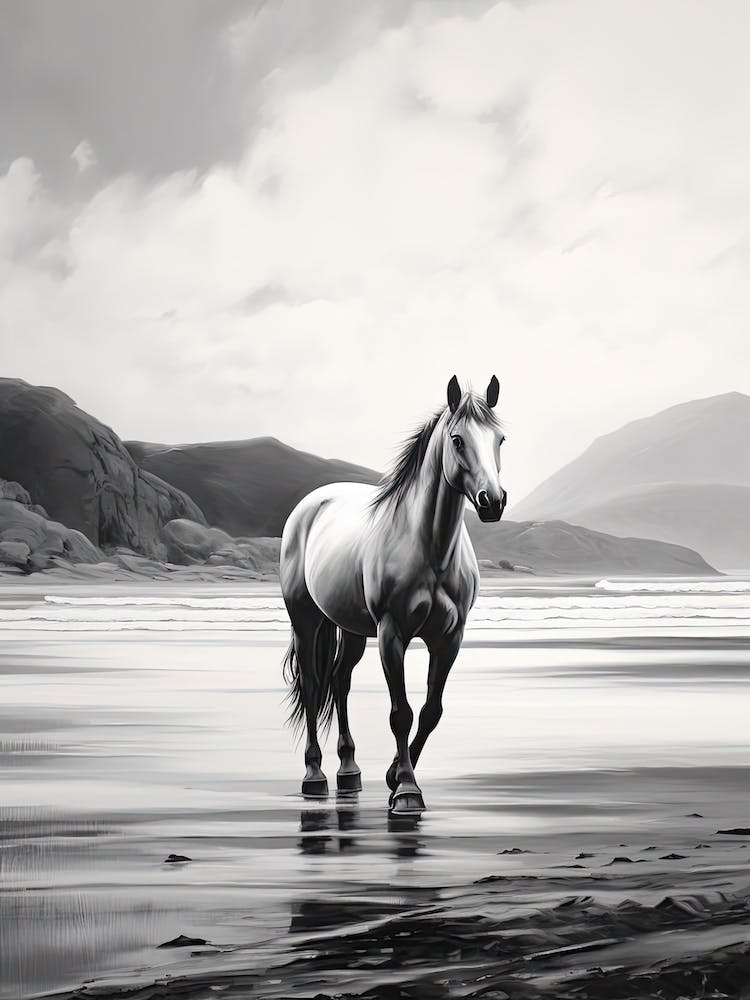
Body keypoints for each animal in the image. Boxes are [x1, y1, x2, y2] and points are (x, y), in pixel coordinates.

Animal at [279, 376, 506, 814]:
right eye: (457, 440)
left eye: (500, 439)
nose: (493, 501)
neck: (431, 549)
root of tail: (310, 504)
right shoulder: (391, 633)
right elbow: (400, 713)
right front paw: (405, 790)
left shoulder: (450, 638)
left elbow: (431, 711)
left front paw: (392, 776)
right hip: (305, 619)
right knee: (314, 684)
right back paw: (314, 775)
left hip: (349, 627)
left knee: (340, 681)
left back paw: (349, 770)